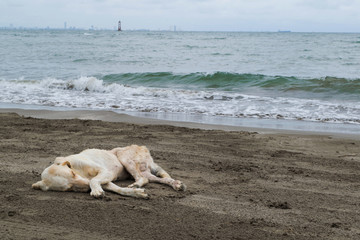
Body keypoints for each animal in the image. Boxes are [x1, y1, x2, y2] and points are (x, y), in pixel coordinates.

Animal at [31, 144, 186, 199]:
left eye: (73, 173)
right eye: (69, 188)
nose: (87, 186)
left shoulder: (104, 172)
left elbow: (94, 180)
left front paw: (95, 191)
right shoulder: (105, 180)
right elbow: (119, 189)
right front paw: (137, 193)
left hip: (124, 157)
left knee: (143, 178)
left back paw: (137, 184)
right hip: (144, 170)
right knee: (156, 178)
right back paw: (177, 184)